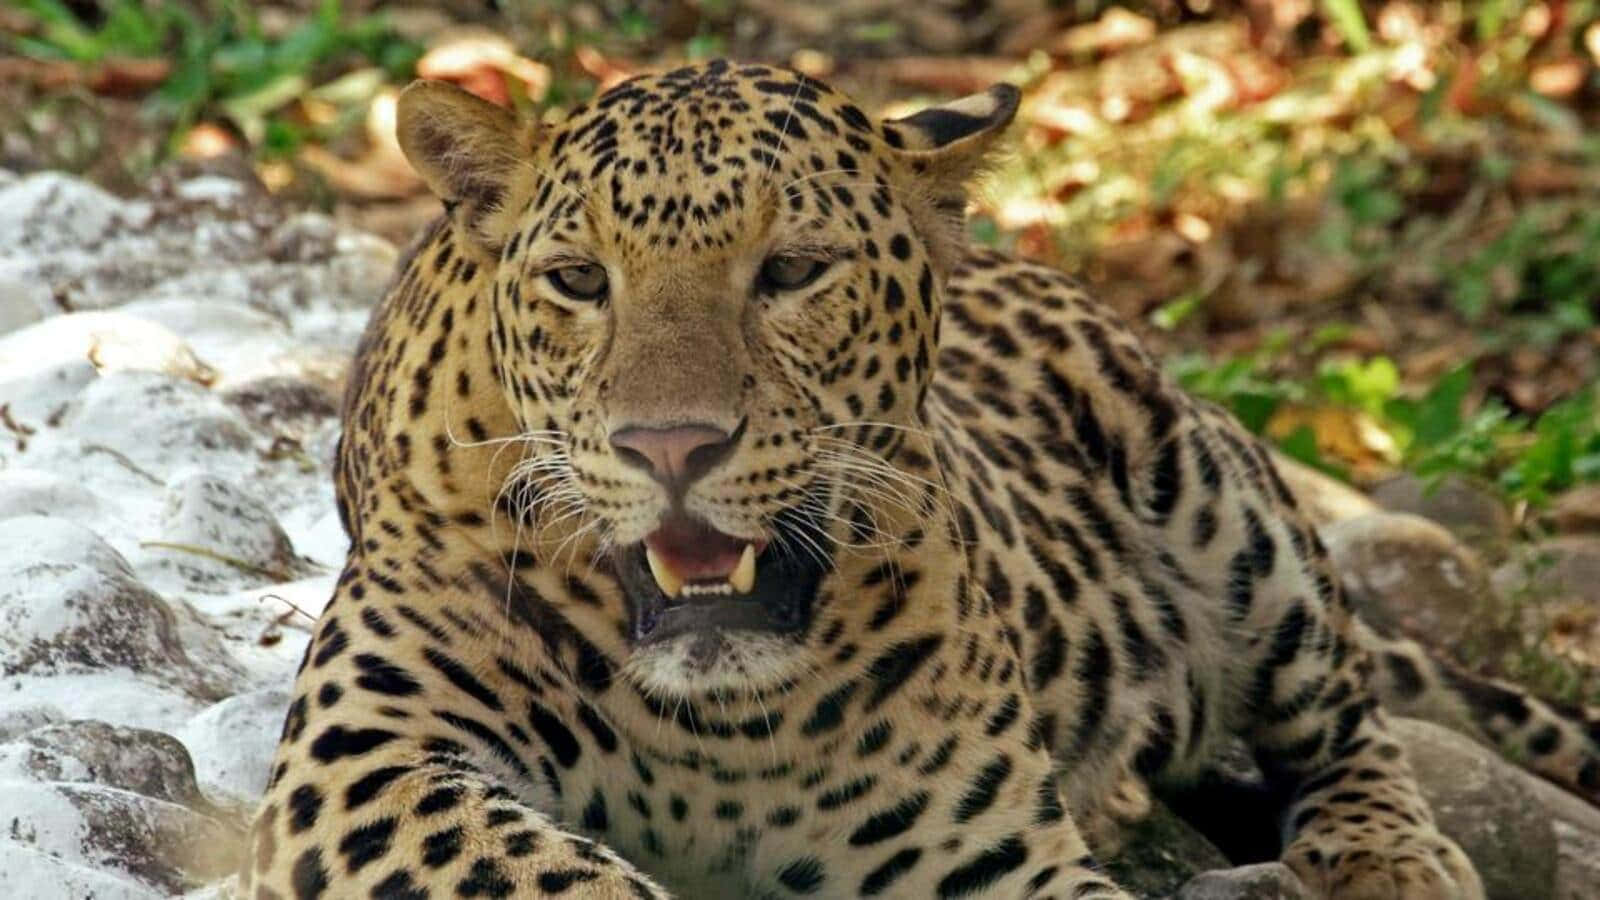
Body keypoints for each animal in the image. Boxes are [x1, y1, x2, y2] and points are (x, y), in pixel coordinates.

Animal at [244, 60, 1600, 900]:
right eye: (579, 281)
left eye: (792, 271)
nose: (670, 447)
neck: (710, 725)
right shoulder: (371, 762)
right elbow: (555, 873)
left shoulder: (992, 854)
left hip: (1215, 490)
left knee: (1346, 714)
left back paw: (1388, 857)